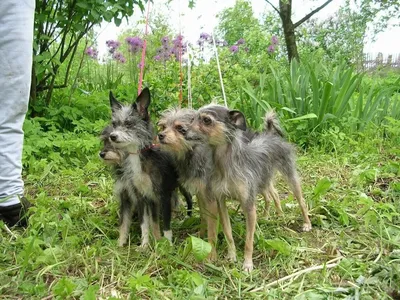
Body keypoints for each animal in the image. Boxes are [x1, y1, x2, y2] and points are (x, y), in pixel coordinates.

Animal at [106, 88, 188, 247]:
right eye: (114, 123)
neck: (139, 157)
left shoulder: (163, 196)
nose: (112, 136)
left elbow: (166, 225)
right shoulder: (141, 197)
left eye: (129, 123)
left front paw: (167, 246)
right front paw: (144, 245)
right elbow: (144, 224)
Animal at [186, 105, 310, 272]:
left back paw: (307, 224)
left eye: (206, 120)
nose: (183, 130)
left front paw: (247, 264)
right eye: (192, 118)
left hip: (290, 176)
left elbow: (248, 241)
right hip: (263, 180)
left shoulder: (249, 206)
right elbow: (228, 233)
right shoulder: (221, 202)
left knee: (301, 201)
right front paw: (232, 256)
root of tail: (270, 133)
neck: (225, 166)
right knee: (273, 195)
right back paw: (275, 215)